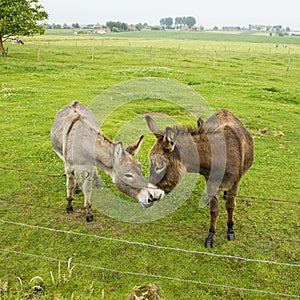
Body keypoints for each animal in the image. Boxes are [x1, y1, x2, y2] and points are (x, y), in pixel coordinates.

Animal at [145, 109, 253, 247]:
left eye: (159, 166)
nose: (147, 199)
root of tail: (225, 111)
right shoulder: (211, 181)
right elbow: (214, 210)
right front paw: (211, 236)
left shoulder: (235, 183)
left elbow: (230, 206)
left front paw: (230, 230)